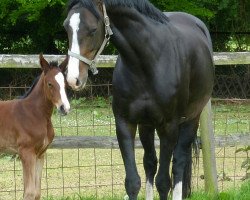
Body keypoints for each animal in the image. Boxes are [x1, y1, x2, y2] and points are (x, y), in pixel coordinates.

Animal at [0, 54, 70, 200]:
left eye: (65, 84)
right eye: (50, 84)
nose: (64, 108)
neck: (33, 113)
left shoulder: (40, 154)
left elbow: (36, 192)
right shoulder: (26, 153)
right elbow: (29, 192)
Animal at [63, 0, 214, 199]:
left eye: (93, 29)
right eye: (66, 27)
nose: (73, 79)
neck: (147, 63)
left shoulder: (169, 127)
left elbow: (163, 182)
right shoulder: (125, 123)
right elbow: (133, 182)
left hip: (191, 119)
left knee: (179, 163)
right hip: (147, 125)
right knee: (150, 163)